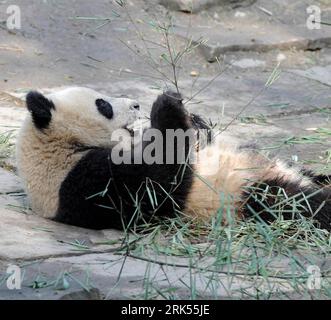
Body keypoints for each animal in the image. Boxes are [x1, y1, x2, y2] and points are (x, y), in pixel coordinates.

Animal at [15, 87, 331, 231]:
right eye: (103, 104)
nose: (136, 104)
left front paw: (196, 121)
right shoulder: (83, 184)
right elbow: (160, 183)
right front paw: (166, 105)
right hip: (247, 194)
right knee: (298, 203)